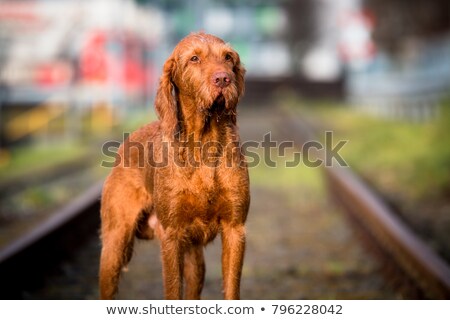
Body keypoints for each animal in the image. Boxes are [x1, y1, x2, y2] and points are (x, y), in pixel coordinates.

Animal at [98, 33, 250, 300]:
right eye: (194, 58)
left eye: (228, 57)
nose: (223, 79)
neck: (204, 143)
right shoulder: (172, 234)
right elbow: (172, 290)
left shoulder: (235, 229)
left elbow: (231, 290)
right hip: (115, 245)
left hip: (195, 260)